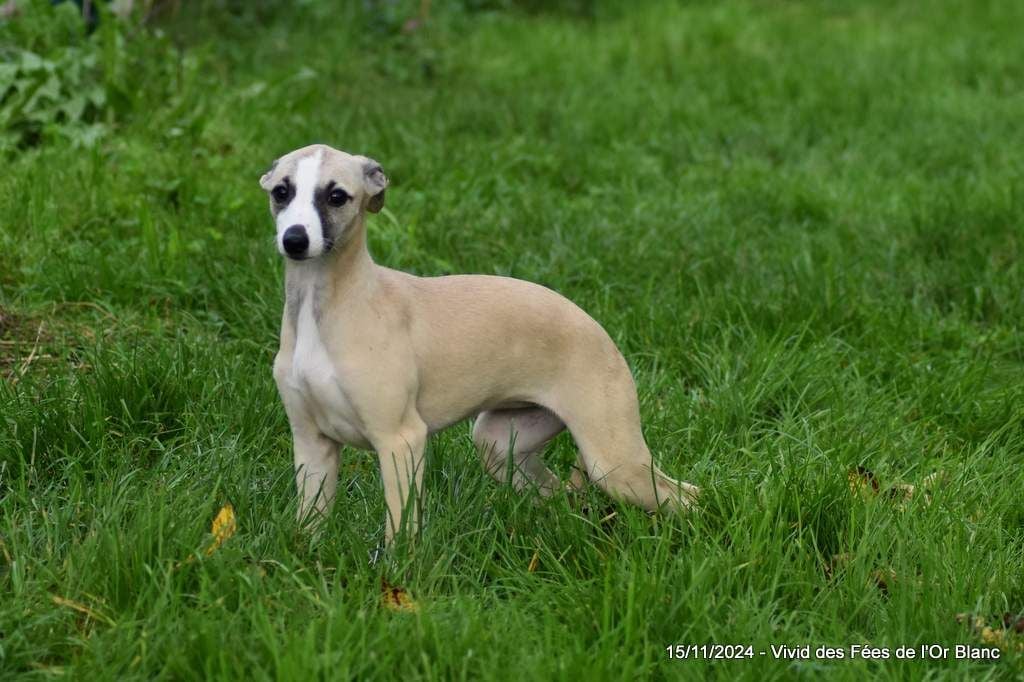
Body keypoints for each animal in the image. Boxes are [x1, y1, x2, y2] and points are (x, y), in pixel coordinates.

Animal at [260, 143, 700, 540]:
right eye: (281, 191)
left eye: (337, 195)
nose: (295, 240)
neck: (329, 309)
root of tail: (599, 330)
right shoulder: (312, 443)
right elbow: (310, 524)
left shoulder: (400, 440)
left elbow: (401, 529)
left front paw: (397, 572)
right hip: (500, 443)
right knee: (557, 494)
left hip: (614, 461)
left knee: (686, 496)